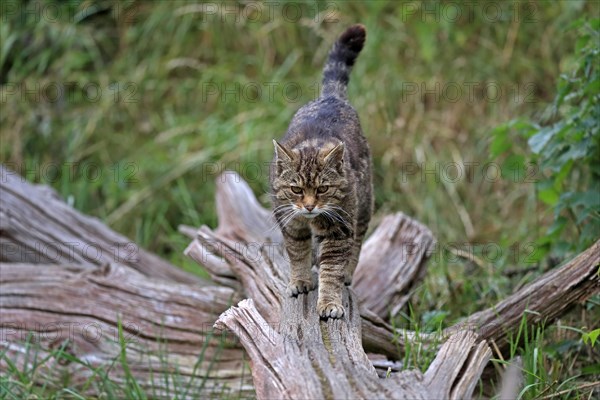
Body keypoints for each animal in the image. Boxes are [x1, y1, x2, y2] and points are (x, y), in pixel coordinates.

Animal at [270, 24, 372, 318]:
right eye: (296, 189)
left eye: (323, 188)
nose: (309, 206)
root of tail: (329, 97)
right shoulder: (290, 222)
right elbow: (298, 254)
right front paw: (300, 280)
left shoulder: (340, 229)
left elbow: (331, 269)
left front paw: (329, 302)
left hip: (363, 206)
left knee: (357, 242)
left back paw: (347, 273)